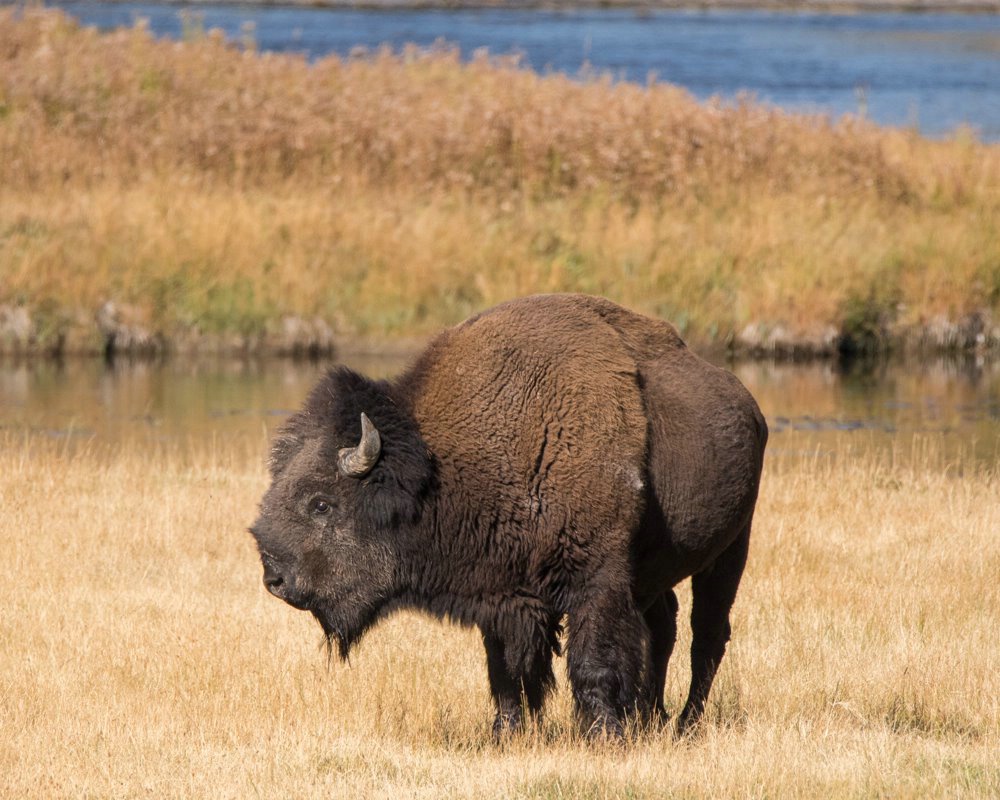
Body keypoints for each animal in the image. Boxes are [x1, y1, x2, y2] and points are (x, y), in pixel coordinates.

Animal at [250, 294, 764, 736]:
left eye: (321, 503)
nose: (274, 577)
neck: (440, 466)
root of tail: (749, 407)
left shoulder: (598, 580)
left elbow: (593, 662)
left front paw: (603, 736)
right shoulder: (499, 594)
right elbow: (505, 673)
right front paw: (506, 733)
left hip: (731, 551)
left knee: (706, 635)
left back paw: (684, 724)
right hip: (654, 572)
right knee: (664, 626)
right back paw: (651, 716)